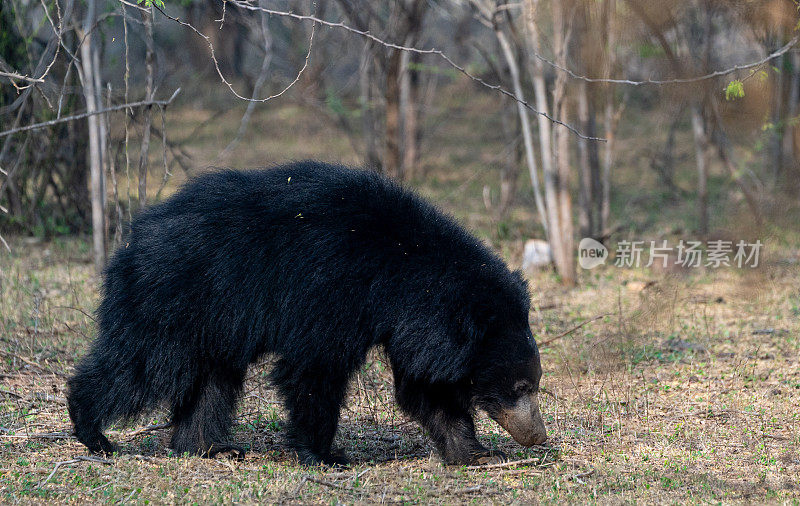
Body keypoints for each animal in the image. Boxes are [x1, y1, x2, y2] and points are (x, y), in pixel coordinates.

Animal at [65, 161, 548, 466]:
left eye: (533, 384)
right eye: (519, 387)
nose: (538, 436)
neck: (403, 270)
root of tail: (135, 236)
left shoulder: (413, 327)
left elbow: (426, 389)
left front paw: (479, 454)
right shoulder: (331, 288)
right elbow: (315, 368)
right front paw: (327, 456)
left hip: (212, 324)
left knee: (211, 383)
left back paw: (209, 447)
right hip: (172, 298)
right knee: (138, 367)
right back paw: (95, 434)